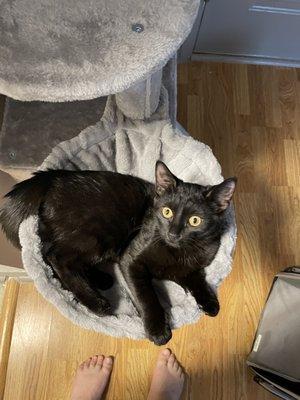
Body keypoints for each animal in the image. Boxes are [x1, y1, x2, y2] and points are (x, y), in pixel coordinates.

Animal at [0, 162, 236, 344]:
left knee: (57, 254)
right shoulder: (131, 260)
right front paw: (158, 331)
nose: (173, 233)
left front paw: (210, 302)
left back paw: (101, 280)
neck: (178, 251)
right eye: (166, 212)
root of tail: (57, 178)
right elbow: (147, 296)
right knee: (57, 257)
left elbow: (197, 279)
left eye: (195, 220)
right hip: (98, 236)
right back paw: (97, 303)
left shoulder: (191, 268)